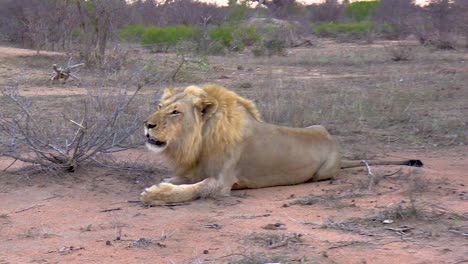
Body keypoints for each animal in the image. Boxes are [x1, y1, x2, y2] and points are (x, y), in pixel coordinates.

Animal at [140, 83, 424, 205]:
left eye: (175, 112)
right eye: (160, 106)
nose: (147, 124)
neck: (199, 140)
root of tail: (336, 147)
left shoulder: (223, 182)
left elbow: (200, 188)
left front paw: (154, 194)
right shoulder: (192, 170)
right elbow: (179, 181)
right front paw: (161, 185)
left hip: (321, 173)